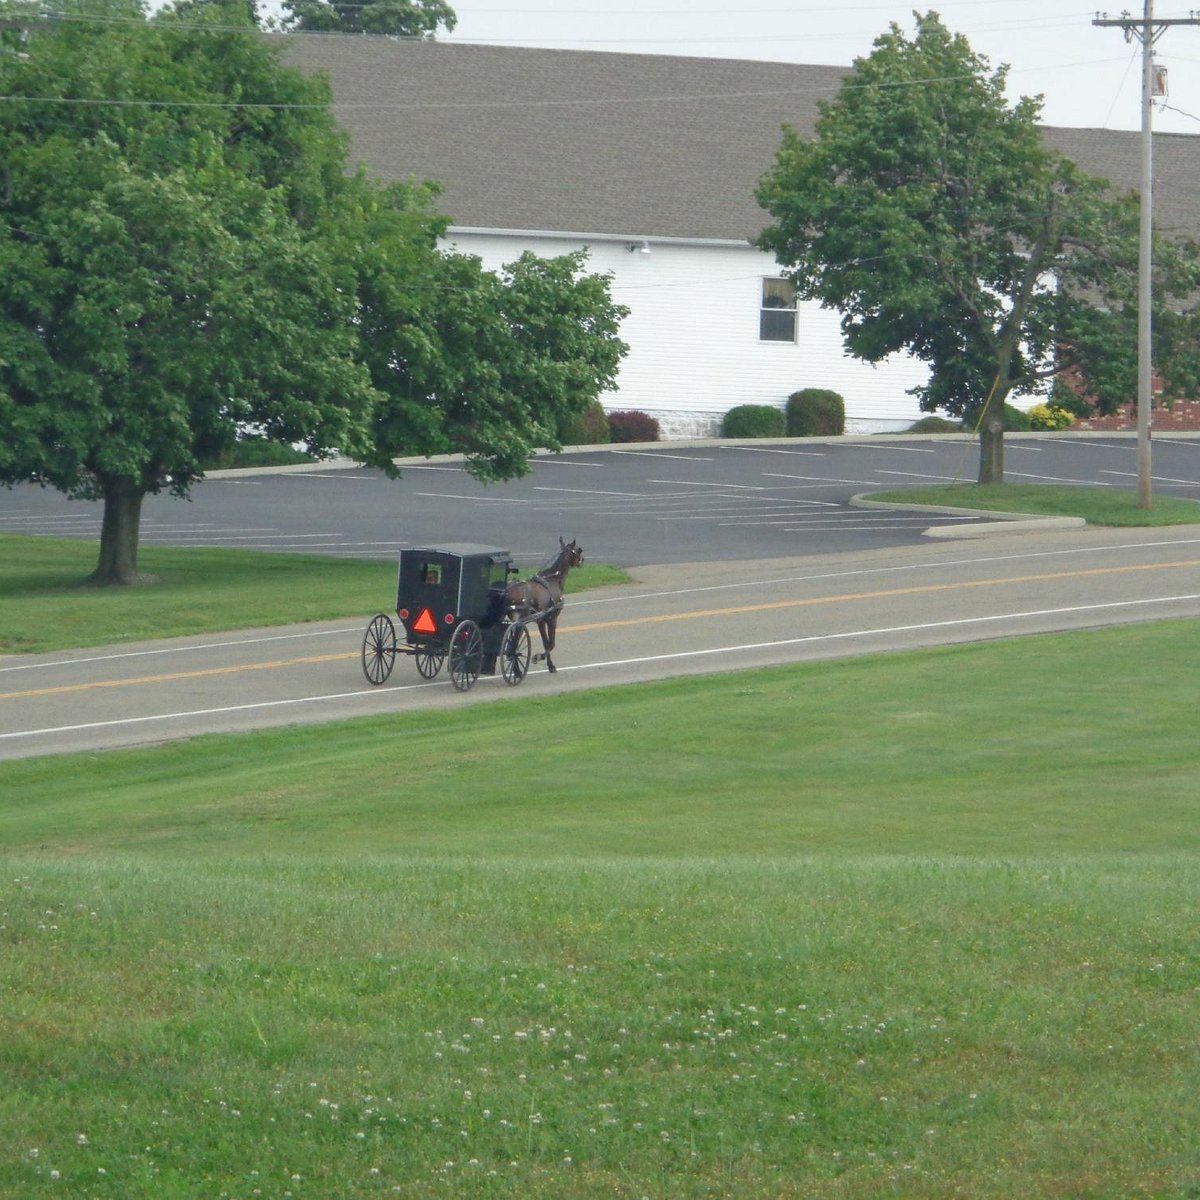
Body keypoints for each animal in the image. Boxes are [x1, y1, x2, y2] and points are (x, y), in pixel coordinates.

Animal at [504, 537, 583, 672]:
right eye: (578, 550)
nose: (582, 560)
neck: (554, 579)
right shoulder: (550, 618)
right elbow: (550, 643)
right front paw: (542, 660)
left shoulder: (542, 620)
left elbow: (546, 642)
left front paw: (549, 664)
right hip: (521, 619)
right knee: (513, 644)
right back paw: (517, 670)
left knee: (512, 643)